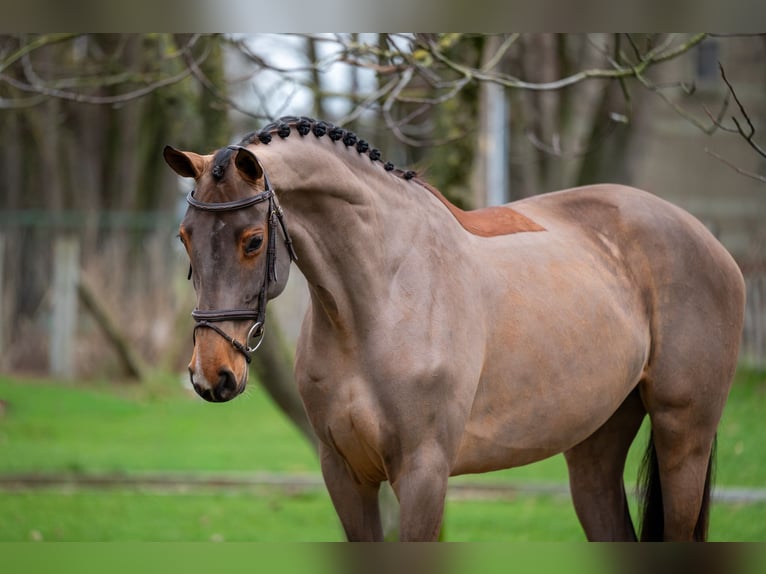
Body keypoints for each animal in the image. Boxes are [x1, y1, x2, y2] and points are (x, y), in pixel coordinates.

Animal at [163, 116, 745, 541]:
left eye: (254, 241)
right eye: (185, 236)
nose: (212, 375)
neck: (378, 302)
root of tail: (709, 241)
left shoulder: (423, 473)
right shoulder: (345, 474)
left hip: (683, 438)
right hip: (594, 447)